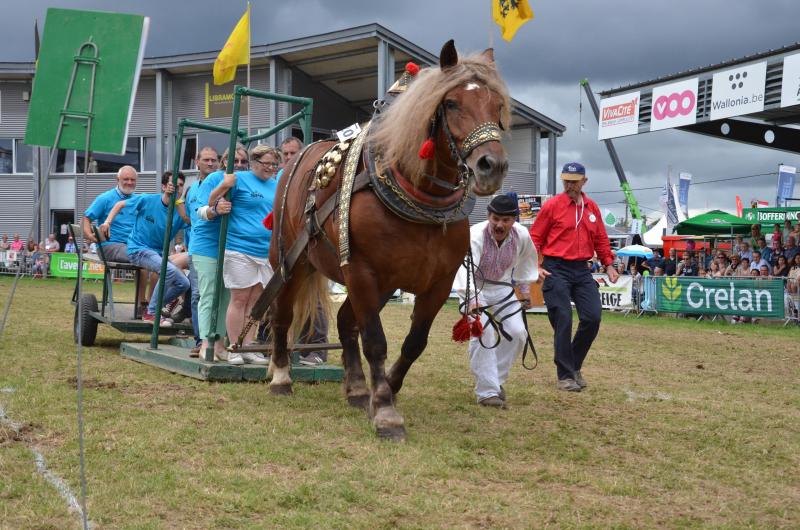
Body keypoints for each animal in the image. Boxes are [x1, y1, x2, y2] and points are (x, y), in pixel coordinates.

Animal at [268, 40, 512, 438]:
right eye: (451, 103)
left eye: (496, 104)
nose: (492, 166)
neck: (420, 198)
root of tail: (294, 160)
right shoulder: (362, 272)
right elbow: (376, 341)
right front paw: (384, 410)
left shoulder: (436, 284)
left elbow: (414, 343)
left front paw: (385, 392)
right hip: (292, 261)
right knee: (282, 315)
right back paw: (281, 377)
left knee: (345, 324)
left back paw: (355, 388)